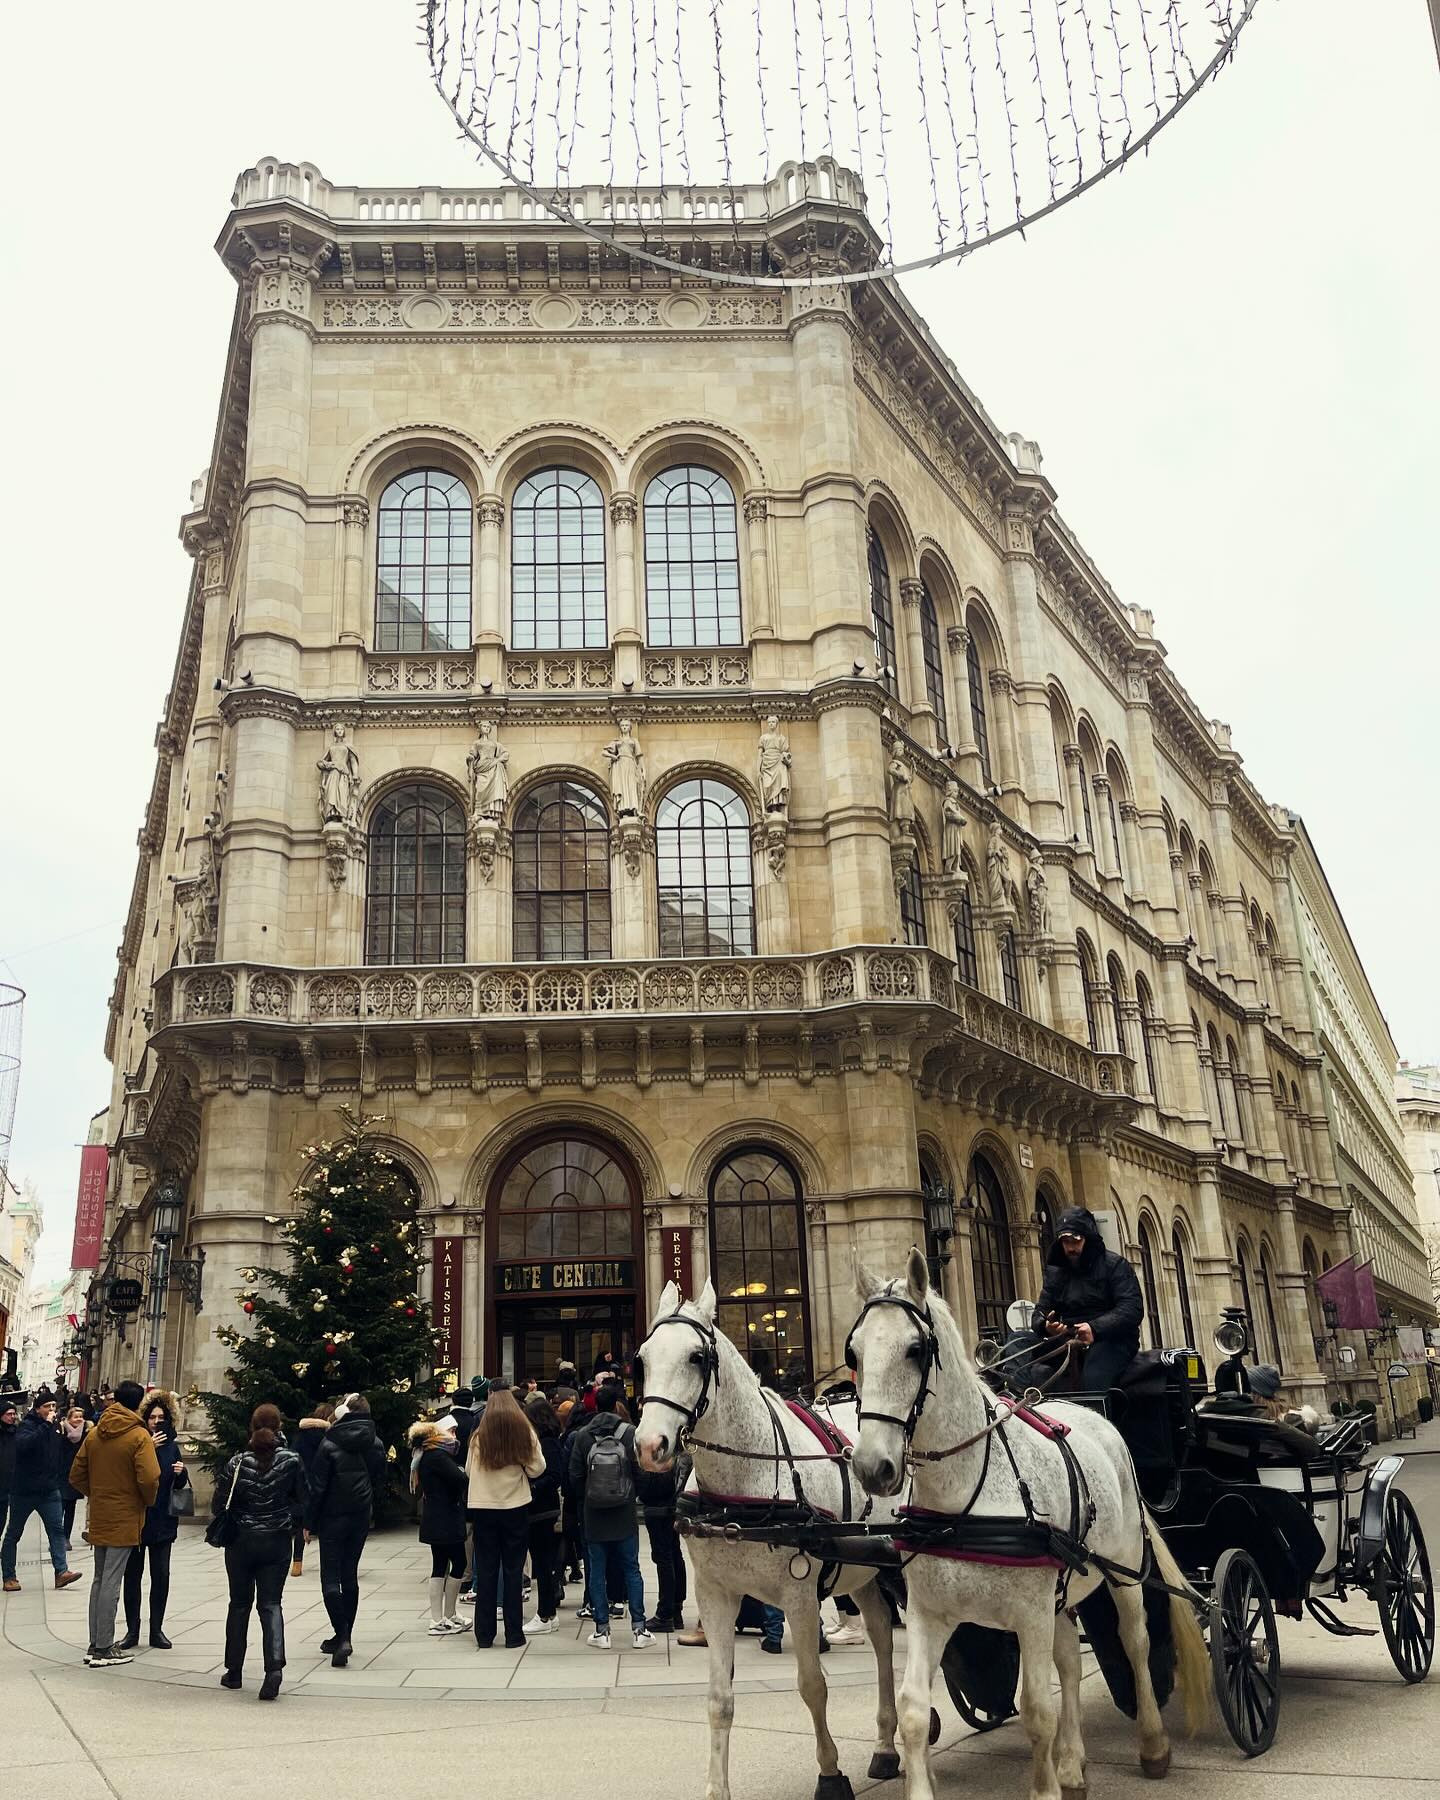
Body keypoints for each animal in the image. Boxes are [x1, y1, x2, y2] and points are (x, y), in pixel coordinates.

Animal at [637, 1281, 900, 1800]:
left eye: (697, 1357)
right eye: (643, 1357)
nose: (649, 1446)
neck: (746, 1478)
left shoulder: (799, 1596)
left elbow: (812, 1685)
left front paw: (830, 1773)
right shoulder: (715, 1594)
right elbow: (719, 1699)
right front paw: (717, 1788)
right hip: (863, 1569)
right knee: (882, 1634)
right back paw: (887, 1744)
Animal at [849, 1260, 1209, 1800]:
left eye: (915, 1350)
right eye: (853, 1352)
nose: (873, 1467)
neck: (965, 1494)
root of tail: (1083, 1408)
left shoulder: (1029, 1613)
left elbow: (1039, 1711)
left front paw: (1046, 1784)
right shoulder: (930, 1612)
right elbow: (914, 1712)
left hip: (1123, 1569)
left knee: (1136, 1641)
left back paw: (1152, 1745)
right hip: (1060, 1593)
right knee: (1070, 1660)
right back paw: (1073, 1765)